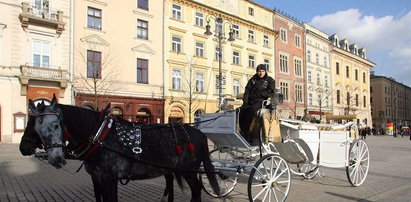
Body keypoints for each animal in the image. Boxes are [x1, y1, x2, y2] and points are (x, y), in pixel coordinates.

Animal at [22, 97, 220, 201]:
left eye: (57, 125)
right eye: (36, 126)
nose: (23, 147)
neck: (101, 136)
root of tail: (198, 133)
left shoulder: (109, 179)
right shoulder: (96, 178)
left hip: (189, 170)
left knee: (196, 188)